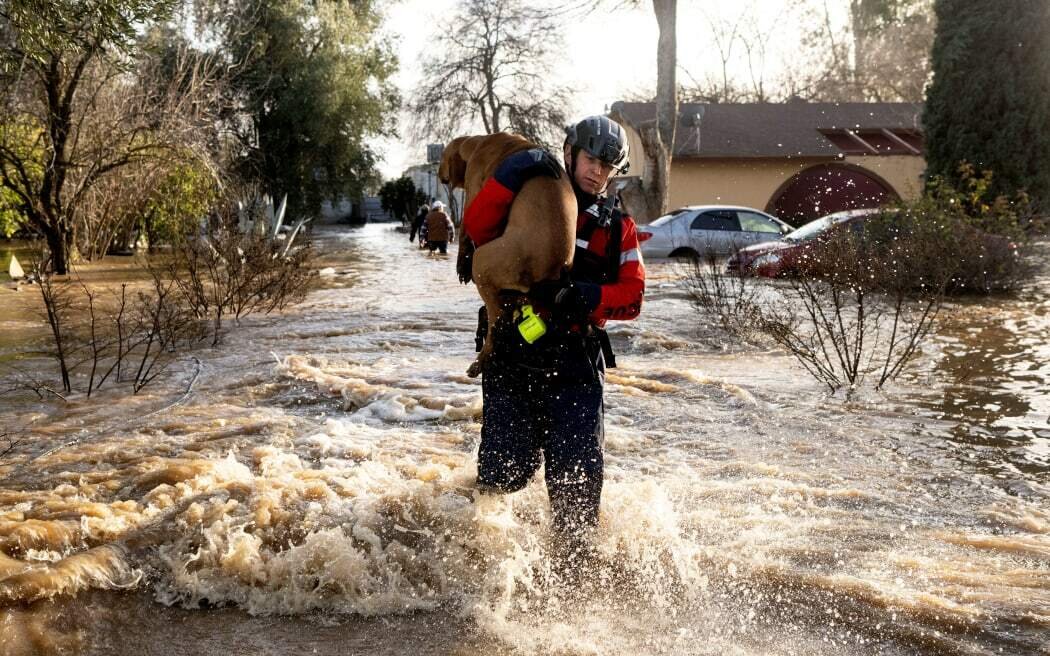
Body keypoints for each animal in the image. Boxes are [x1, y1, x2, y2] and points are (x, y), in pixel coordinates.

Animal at [438, 134, 579, 373]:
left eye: (442, 157)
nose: (438, 174)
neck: (479, 142)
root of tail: (550, 270)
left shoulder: (473, 190)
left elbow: (467, 226)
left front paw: (461, 264)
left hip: (483, 262)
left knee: (497, 320)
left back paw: (480, 361)